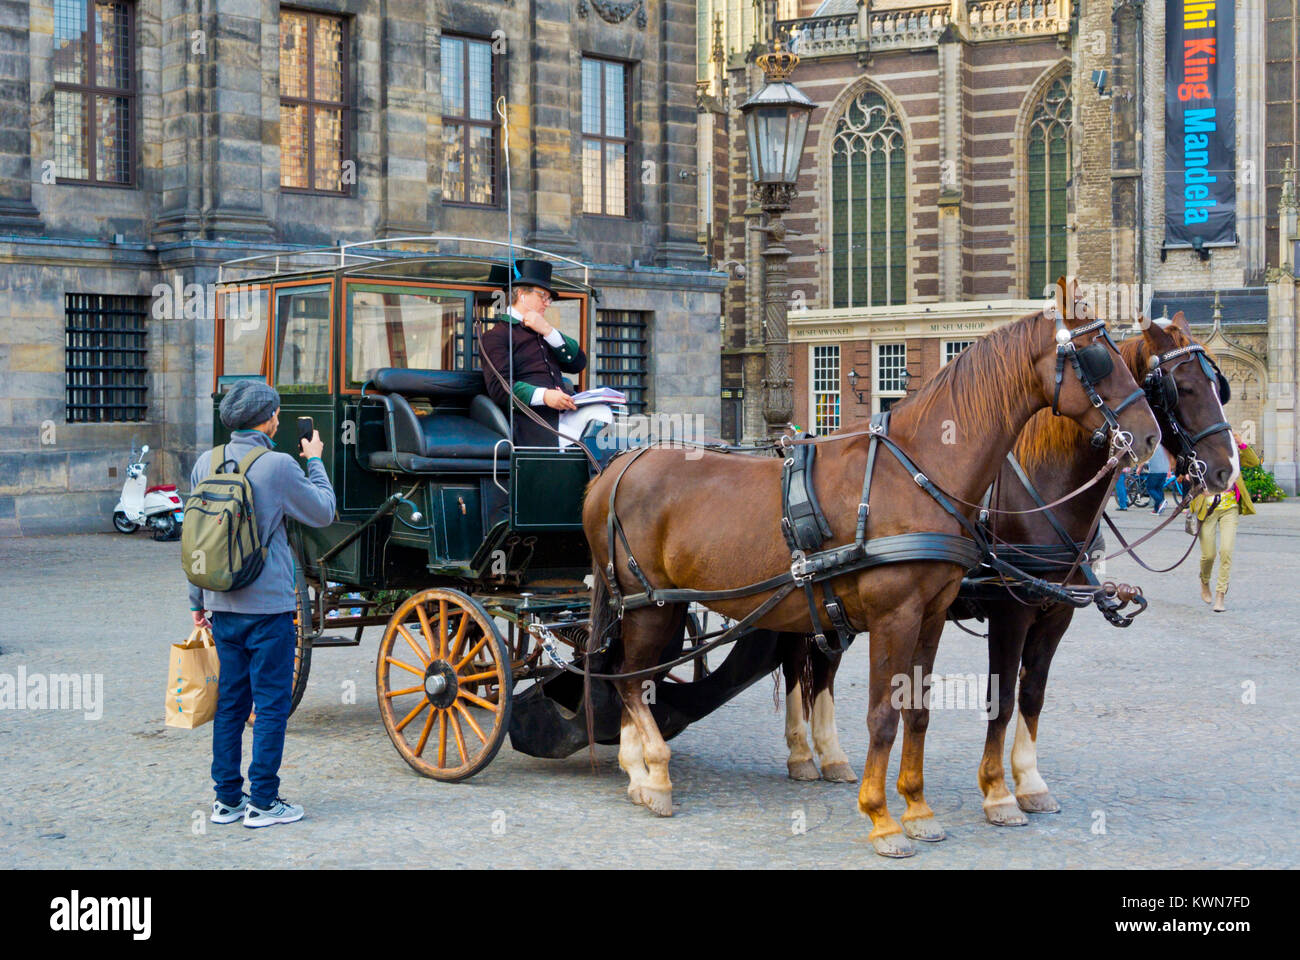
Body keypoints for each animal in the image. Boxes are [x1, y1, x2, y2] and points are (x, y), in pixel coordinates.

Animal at [582, 308, 1159, 853]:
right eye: (1098, 360)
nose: (1150, 435)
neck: (920, 471)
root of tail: (616, 467)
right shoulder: (904, 615)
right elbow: (885, 714)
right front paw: (883, 819)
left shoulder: (933, 615)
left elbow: (918, 711)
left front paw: (919, 810)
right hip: (648, 605)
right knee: (631, 679)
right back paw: (654, 775)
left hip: (669, 604)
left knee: (631, 675)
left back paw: (639, 770)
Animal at [780, 310, 1237, 827]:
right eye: (1183, 387)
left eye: (1218, 386)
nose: (1227, 469)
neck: (1043, 492)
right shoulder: (1010, 611)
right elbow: (1000, 699)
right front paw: (998, 793)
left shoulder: (1057, 613)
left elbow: (1032, 694)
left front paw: (1031, 783)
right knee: (799, 663)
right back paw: (803, 753)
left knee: (823, 665)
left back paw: (829, 755)